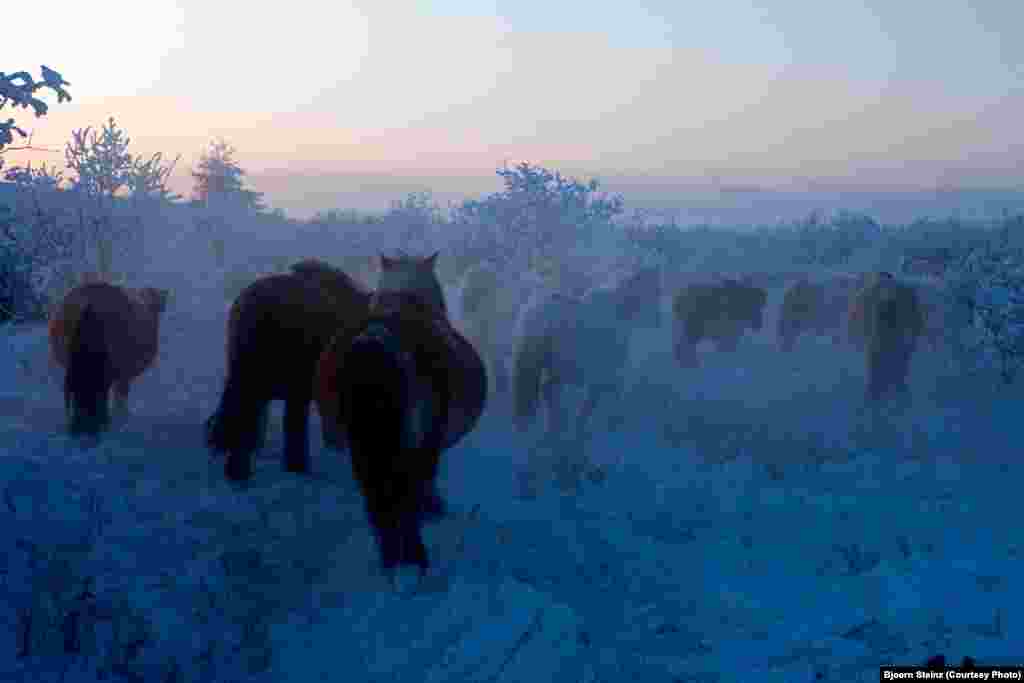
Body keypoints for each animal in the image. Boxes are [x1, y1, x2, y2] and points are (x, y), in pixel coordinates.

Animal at [313, 253, 485, 585]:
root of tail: (378, 341)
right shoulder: (429, 440)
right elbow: (425, 479)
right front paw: (431, 509)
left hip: (364, 444)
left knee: (377, 495)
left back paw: (393, 560)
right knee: (405, 489)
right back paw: (413, 560)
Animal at [512, 264, 663, 440]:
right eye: (655, 292)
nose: (658, 320)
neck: (619, 314)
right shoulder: (601, 379)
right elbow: (592, 407)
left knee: (546, 393)